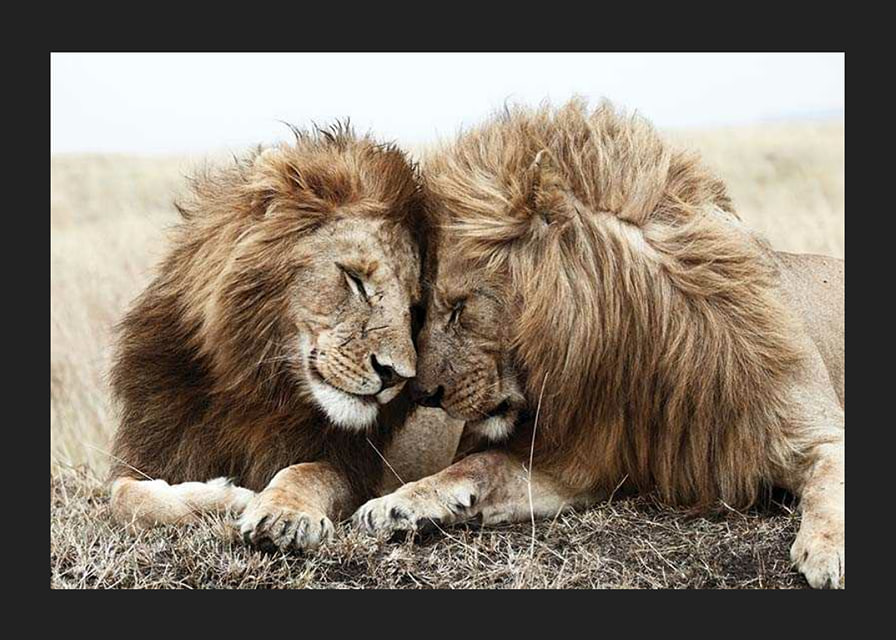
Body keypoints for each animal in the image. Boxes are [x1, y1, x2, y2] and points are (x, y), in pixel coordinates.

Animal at [108, 124, 448, 551]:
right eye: (355, 279)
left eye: (414, 308)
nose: (395, 376)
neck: (255, 388)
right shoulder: (151, 450)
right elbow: (124, 495)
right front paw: (227, 496)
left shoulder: (354, 468)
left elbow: (306, 471)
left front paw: (283, 514)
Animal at [353, 100, 845, 589]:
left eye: (459, 308)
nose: (423, 395)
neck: (639, 347)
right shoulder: (578, 462)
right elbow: (480, 465)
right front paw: (395, 504)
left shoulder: (818, 430)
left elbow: (832, 482)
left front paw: (829, 552)